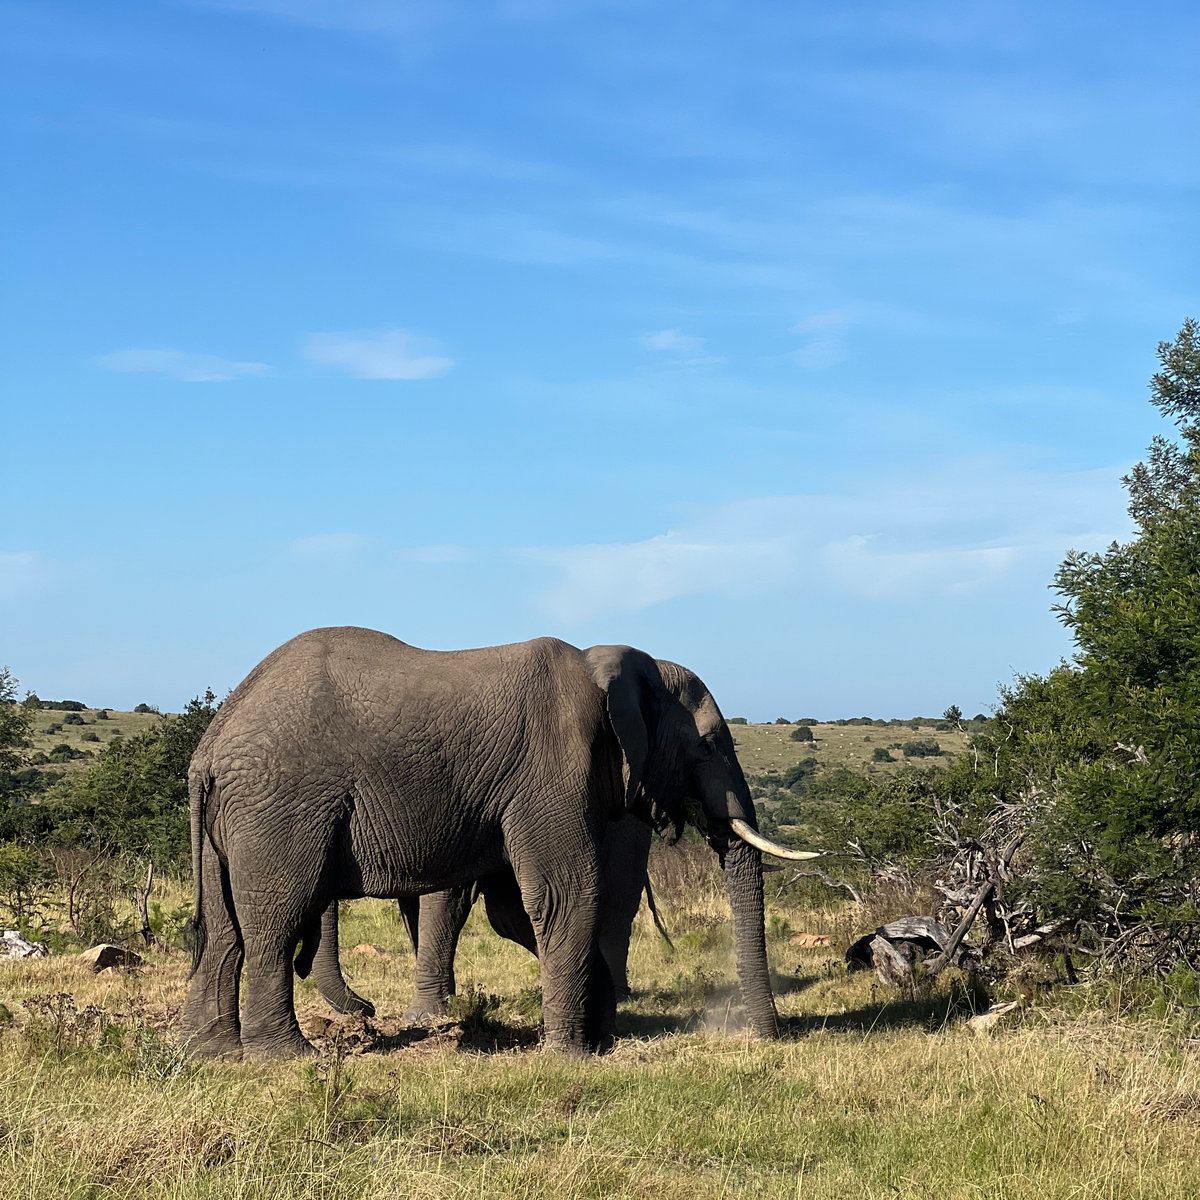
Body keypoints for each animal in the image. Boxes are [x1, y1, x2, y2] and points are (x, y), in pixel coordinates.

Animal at [301, 812, 668, 1020]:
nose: (367, 1008)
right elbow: (413, 904)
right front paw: (444, 1002)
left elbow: (446, 894)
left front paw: (423, 1015)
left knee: (616, 909)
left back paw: (618, 996)